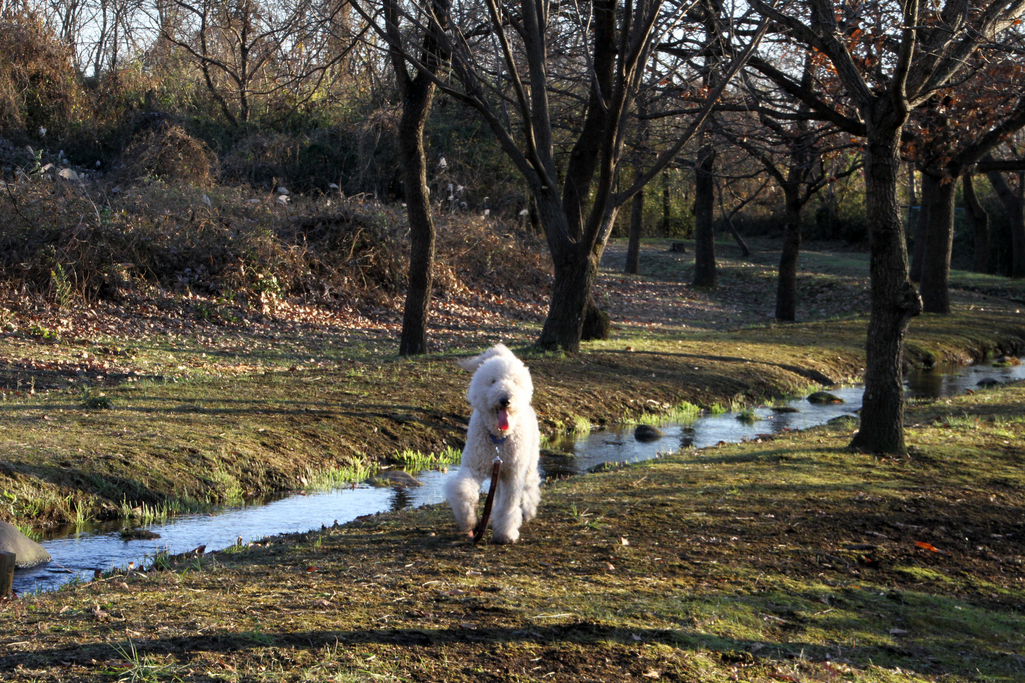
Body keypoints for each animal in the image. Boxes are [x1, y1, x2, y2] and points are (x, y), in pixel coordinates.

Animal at [445, 344, 541, 543]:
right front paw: (468, 519)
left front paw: (506, 533)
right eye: (493, 381)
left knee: (531, 483)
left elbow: (509, 505)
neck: (498, 438)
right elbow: (463, 491)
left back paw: (528, 510)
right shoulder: (474, 466)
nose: (505, 399)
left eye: (514, 382)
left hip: (528, 461)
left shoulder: (513, 474)